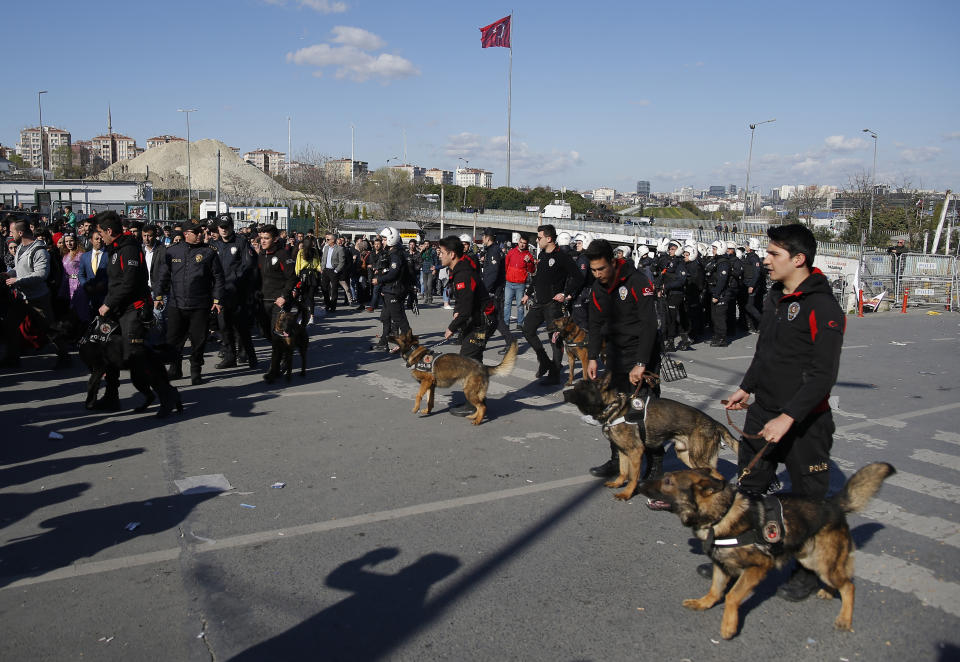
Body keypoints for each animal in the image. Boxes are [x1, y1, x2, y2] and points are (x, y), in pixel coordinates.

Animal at [386, 330, 516, 428]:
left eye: (397, 335)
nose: (387, 335)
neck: (413, 351)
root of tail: (484, 366)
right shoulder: (431, 385)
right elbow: (429, 400)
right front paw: (427, 411)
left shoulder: (426, 382)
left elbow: (418, 396)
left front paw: (416, 408)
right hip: (474, 391)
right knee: (481, 405)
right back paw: (474, 416)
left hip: (469, 391)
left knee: (482, 407)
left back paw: (477, 421)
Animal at [564, 376, 736, 500]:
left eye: (581, 387)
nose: (564, 393)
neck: (613, 407)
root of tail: (714, 422)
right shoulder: (623, 451)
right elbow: (623, 471)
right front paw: (618, 484)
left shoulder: (635, 452)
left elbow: (632, 477)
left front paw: (627, 494)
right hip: (686, 456)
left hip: (698, 458)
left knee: (720, 478)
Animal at [640, 464, 896, 640]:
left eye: (668, 481)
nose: (641, 483)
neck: (721, 514)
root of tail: (832, 504)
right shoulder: (721, 565)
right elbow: (715, 590)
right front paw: (704, 603)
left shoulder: (759, 567)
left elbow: (732, 596)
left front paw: (729, 626)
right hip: (811, 559)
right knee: (839, 581)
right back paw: (827, 592)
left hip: (822, 562)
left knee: (849, 585)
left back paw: (843, 618)